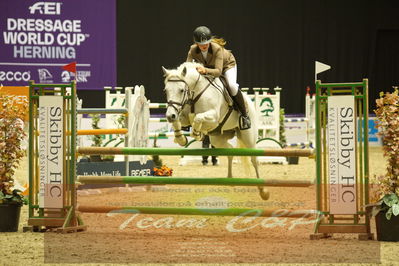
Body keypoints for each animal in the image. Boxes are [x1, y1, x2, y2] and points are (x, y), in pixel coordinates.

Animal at [161, 62, 270, 200]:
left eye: (181, 90)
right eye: (166, 91)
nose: (170, 115)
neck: (195, 93)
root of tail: (250, 102)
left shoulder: (213, 117)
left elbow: (198, 118)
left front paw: (196, 133)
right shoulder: (183, 116)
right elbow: (179, 121)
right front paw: (180, 138)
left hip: (248, 137)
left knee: (254, 159)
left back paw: (263, 190)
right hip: (217, 139)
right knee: (230, 151)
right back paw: (230, 180)